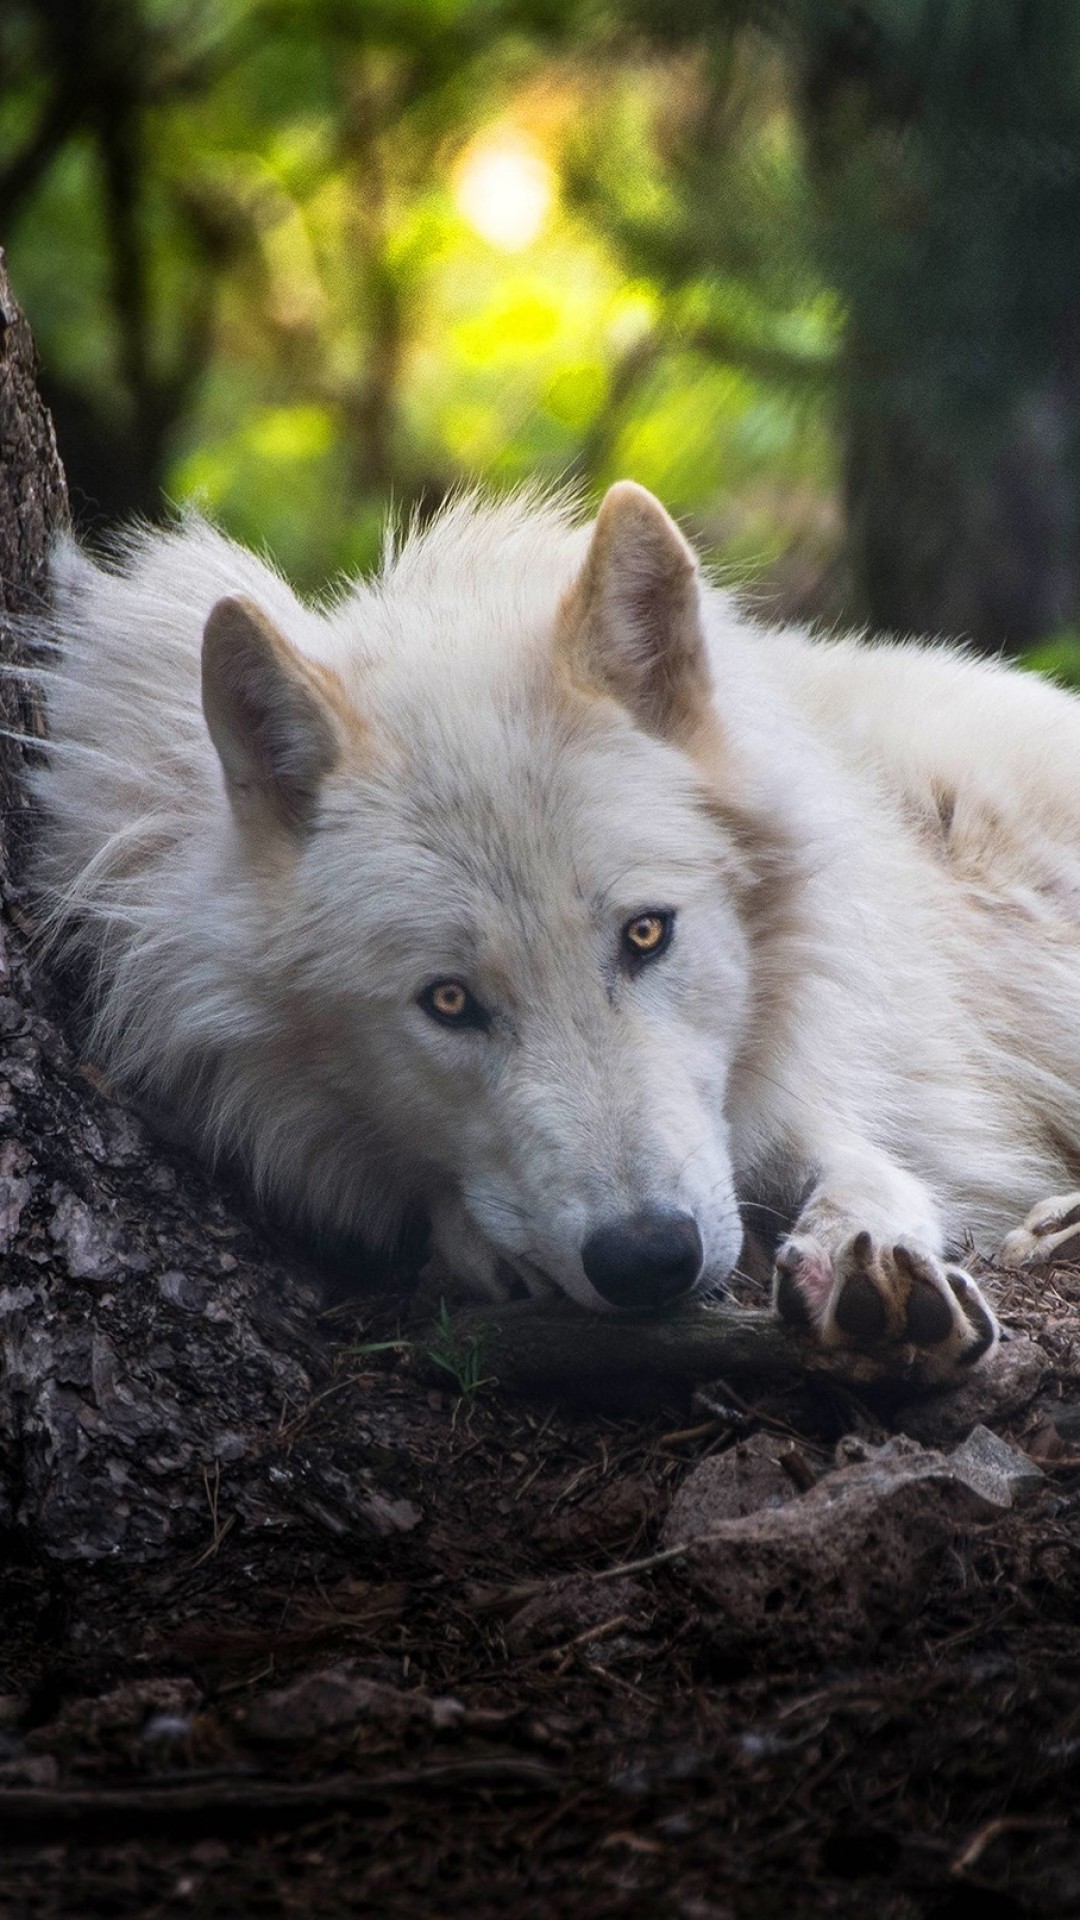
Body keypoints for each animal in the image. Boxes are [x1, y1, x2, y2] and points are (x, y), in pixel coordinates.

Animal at [27, 483, 1080, 1382]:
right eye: (449, 1000)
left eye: (647, 934)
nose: (648, 1259)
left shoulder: (817, 1077)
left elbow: (859, 1164)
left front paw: (866, 1264)